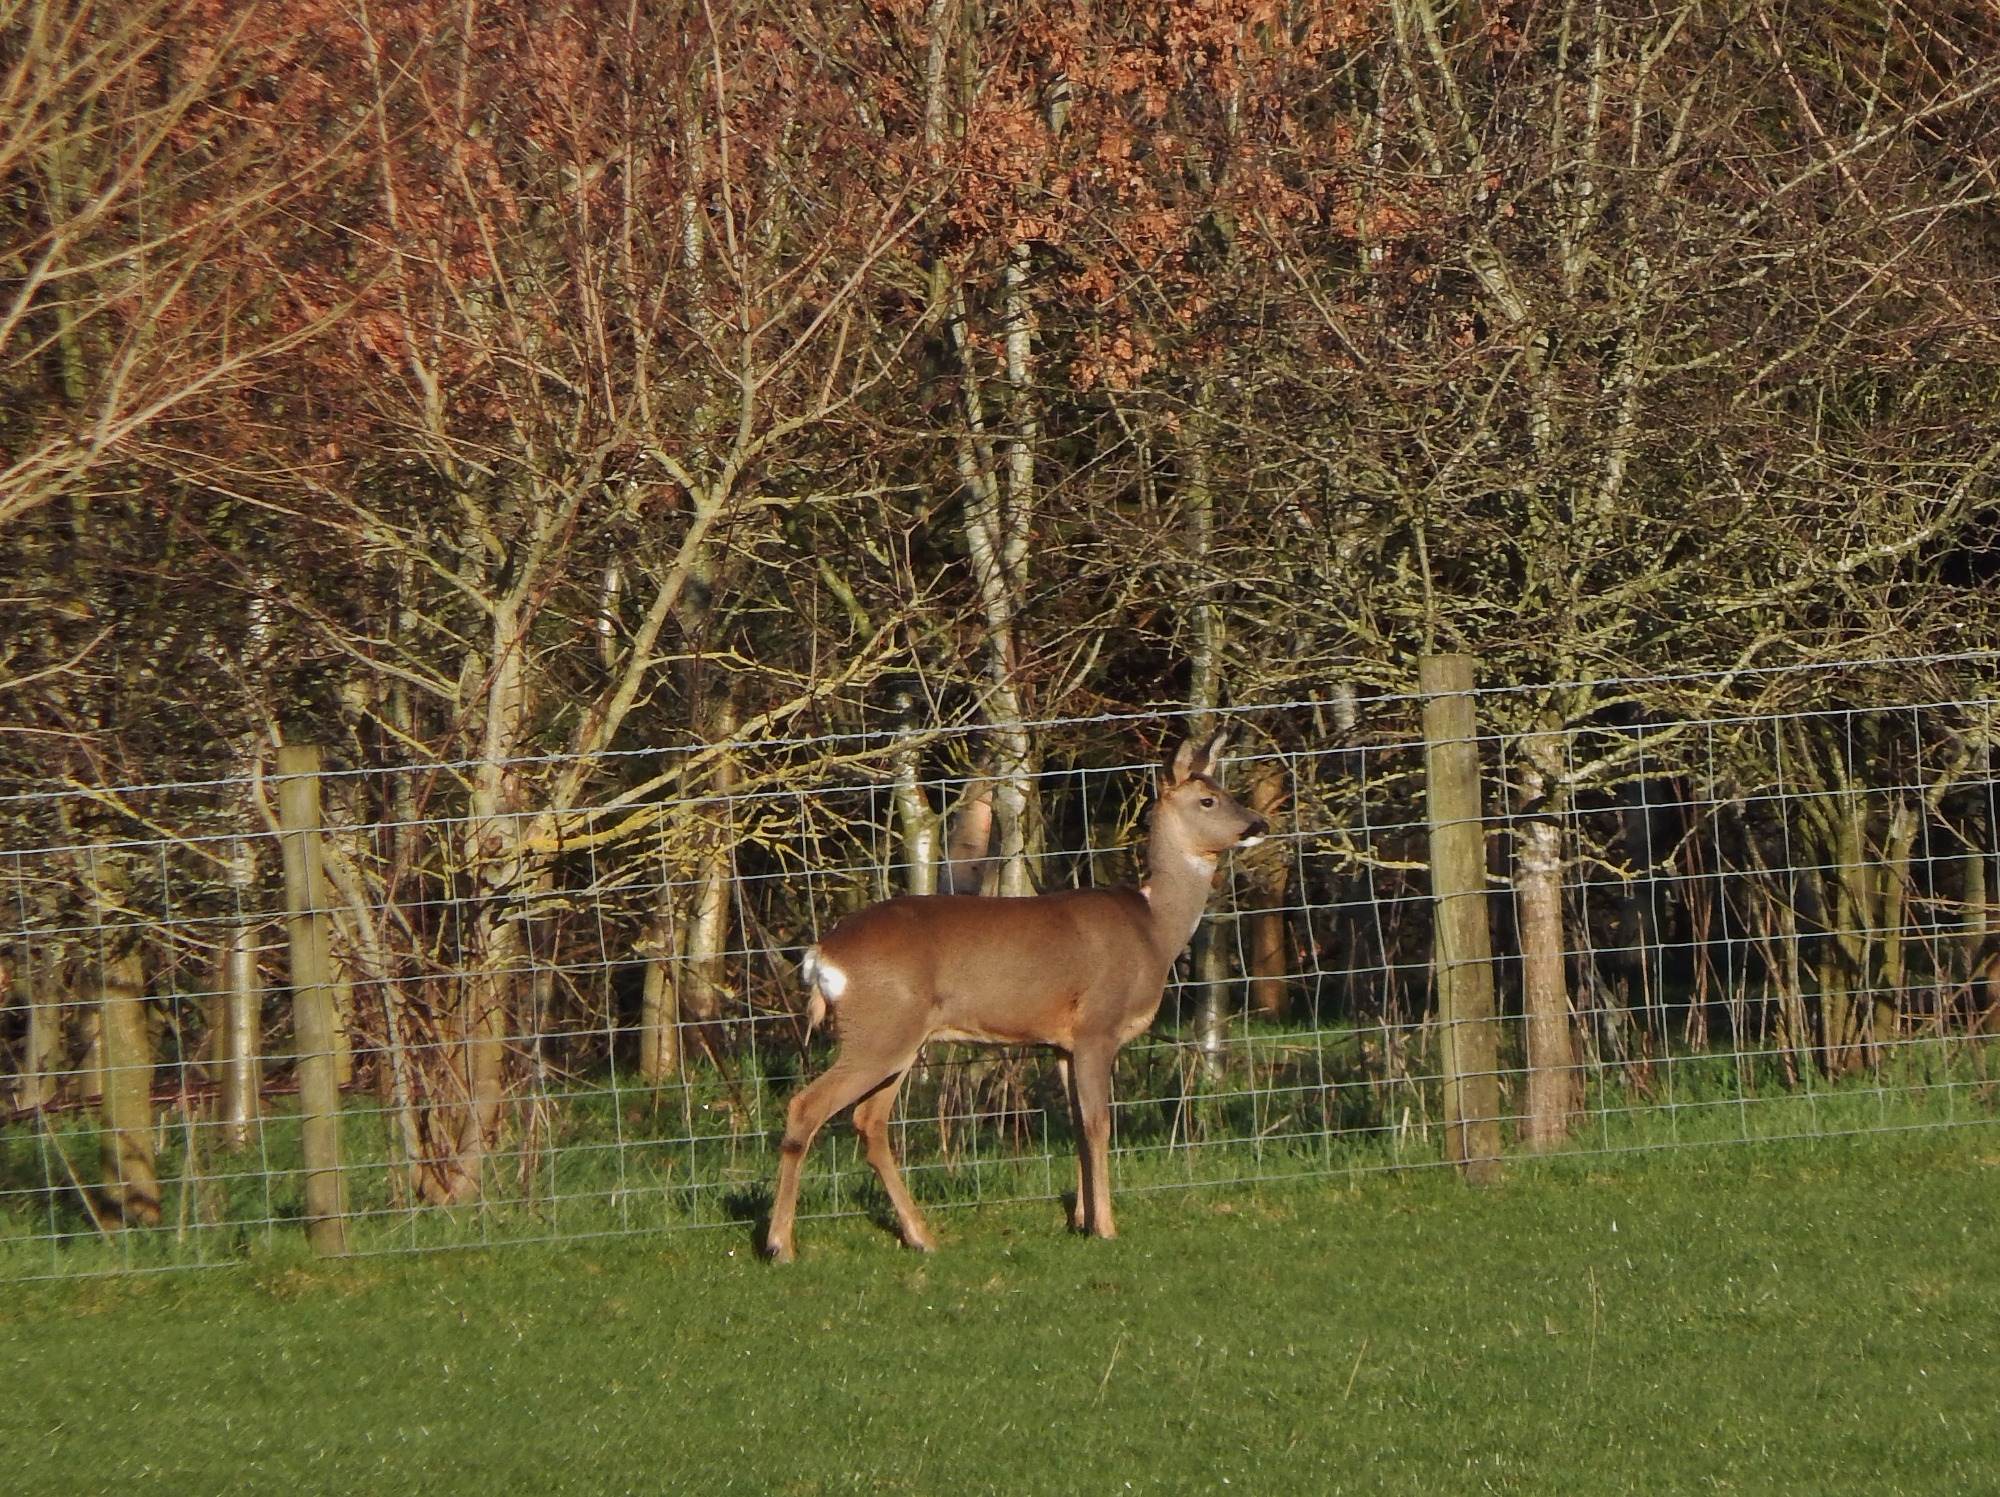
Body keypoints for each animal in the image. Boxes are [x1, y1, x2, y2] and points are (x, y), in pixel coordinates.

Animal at [764, 732, 1264, 1256]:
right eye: (1208, 800)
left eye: (1227, 790)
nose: (1259, 824)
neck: (1153, 930)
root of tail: (821, 954)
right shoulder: (1098, 1026)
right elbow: (1099, 1124)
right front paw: (1106, 1227)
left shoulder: (1062, 1043)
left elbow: (1076, 1125)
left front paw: (1081, 1219)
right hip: (880, 1030)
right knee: (806, 1107)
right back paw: (781, 1245)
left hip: (895, 1038)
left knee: (869, 1123)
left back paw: (921, 1236)